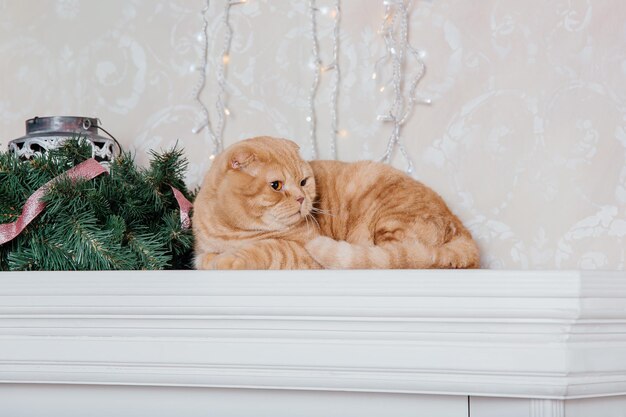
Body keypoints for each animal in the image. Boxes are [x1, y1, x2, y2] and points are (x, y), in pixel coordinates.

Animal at [193, 135, 480, 268]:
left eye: (303, 182)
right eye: (276, 186)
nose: (301, 198)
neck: (231, 231)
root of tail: (461, 227)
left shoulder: (303, 254)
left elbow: (266, 249)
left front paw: (229, 259)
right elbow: (202, 259)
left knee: (401, 256)